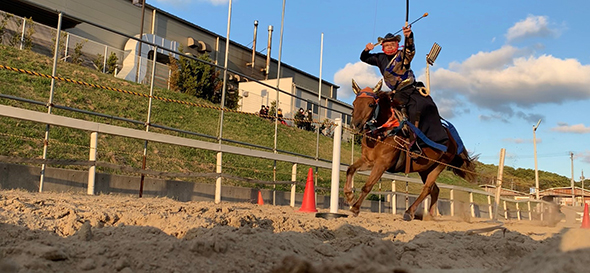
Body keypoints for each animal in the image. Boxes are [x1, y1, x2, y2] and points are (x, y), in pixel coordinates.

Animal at [346, 78, 476, 219]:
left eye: (370, 104)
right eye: (354, 103)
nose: (355, 125)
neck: (384, 133)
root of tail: (452, 140)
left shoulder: (382, 164)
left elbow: (367, 186)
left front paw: (355, 208)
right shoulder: (368, 161)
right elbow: (350, 169)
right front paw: (349, 196)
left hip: (440, 165)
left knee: (427, 188)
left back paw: (409, 212)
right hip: (425, 169)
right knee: (434, 190)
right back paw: (430, 216)